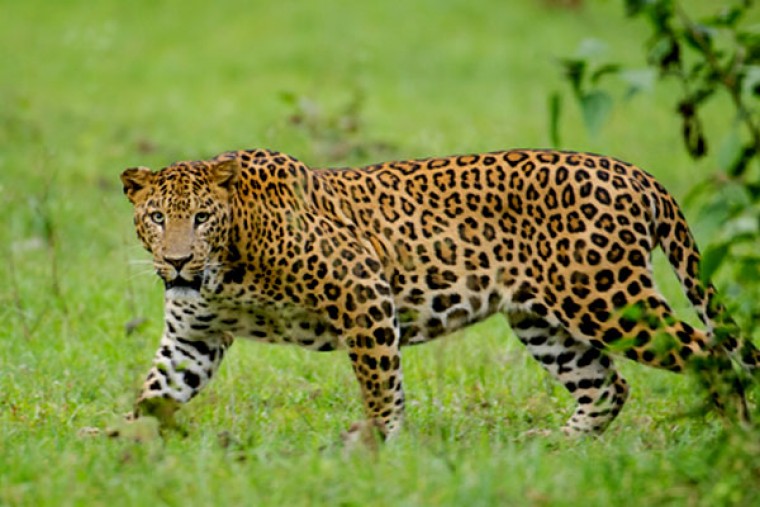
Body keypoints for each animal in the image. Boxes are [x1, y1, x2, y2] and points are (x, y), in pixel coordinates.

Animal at [120, 148, 758, 439]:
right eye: (157, 217)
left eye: (202, 217)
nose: (177, 260)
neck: (226, 268)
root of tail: (636, 173)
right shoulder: (193, 338)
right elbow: (155, 391)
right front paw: (120, 448)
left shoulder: (363, 289)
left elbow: (380, 384)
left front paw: (376, 446)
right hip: (543, 321)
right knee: (608, 385)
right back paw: (557, 445)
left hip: (606, 299)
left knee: (710, 354)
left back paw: (732, 438)